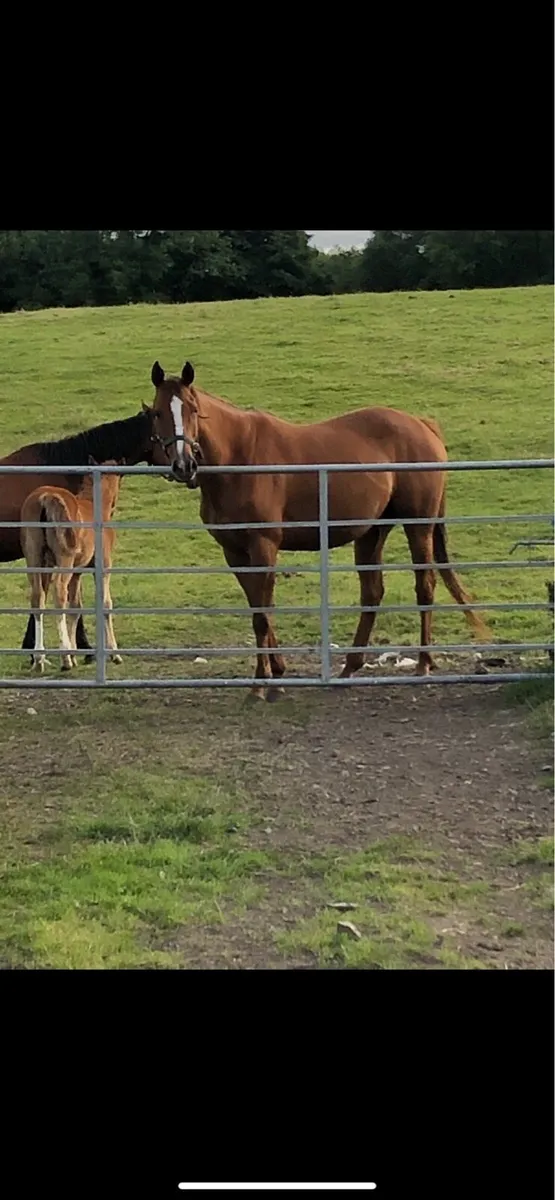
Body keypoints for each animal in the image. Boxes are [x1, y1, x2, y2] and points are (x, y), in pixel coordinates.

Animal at [20, 459, 125, 673]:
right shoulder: (103, 566)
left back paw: (40, 658)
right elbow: (105, 603)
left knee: (38, 598)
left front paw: (76, 653)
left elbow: (75, 607)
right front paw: (114, 654)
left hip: (35, 560)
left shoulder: (77, 572)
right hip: (64, 560)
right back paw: (64, 658)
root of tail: (45, 497)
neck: (94, 505)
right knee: (59, 593)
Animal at [144, 359, 489, 701]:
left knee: (425, 587)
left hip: (419, 526)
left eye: (192, 409)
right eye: (157, 412)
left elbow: (261, 617)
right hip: (372, 531)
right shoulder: (235, 552)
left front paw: (263, 683)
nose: (183, 465)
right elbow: (260, 609)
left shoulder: (264, 546)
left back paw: (423, 662)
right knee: (372, 592)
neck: (239, 458)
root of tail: (422, 424)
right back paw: (350, 667)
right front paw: (276, 671)